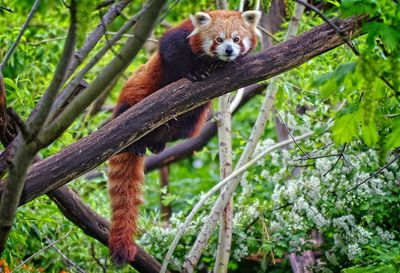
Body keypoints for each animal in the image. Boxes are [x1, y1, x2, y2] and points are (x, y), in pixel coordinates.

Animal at [108, 9, 260, 264]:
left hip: (191, 119)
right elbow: (172, 53)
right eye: (219, 39)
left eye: (237, 39)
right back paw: (137, 144)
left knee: (187, 125)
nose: (229, 50)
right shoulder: (177, 38)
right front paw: (195, 71)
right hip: (131, 99)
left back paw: (157, 144)